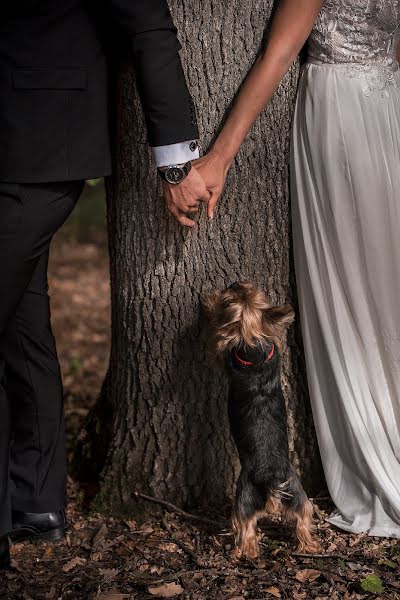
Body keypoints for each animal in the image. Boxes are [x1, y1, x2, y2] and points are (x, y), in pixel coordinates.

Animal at [203, 282, 322, 556]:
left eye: (230, 299)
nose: (236, 283)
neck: (254, 350)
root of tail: (271, 478)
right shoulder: (272, 348)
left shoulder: (226, 353)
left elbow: (219, 343)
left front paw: (209, 305)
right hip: (298, 494)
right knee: (303, 519)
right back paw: (310, 546)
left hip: (244, 498)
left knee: (246, 530)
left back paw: (240, 553)